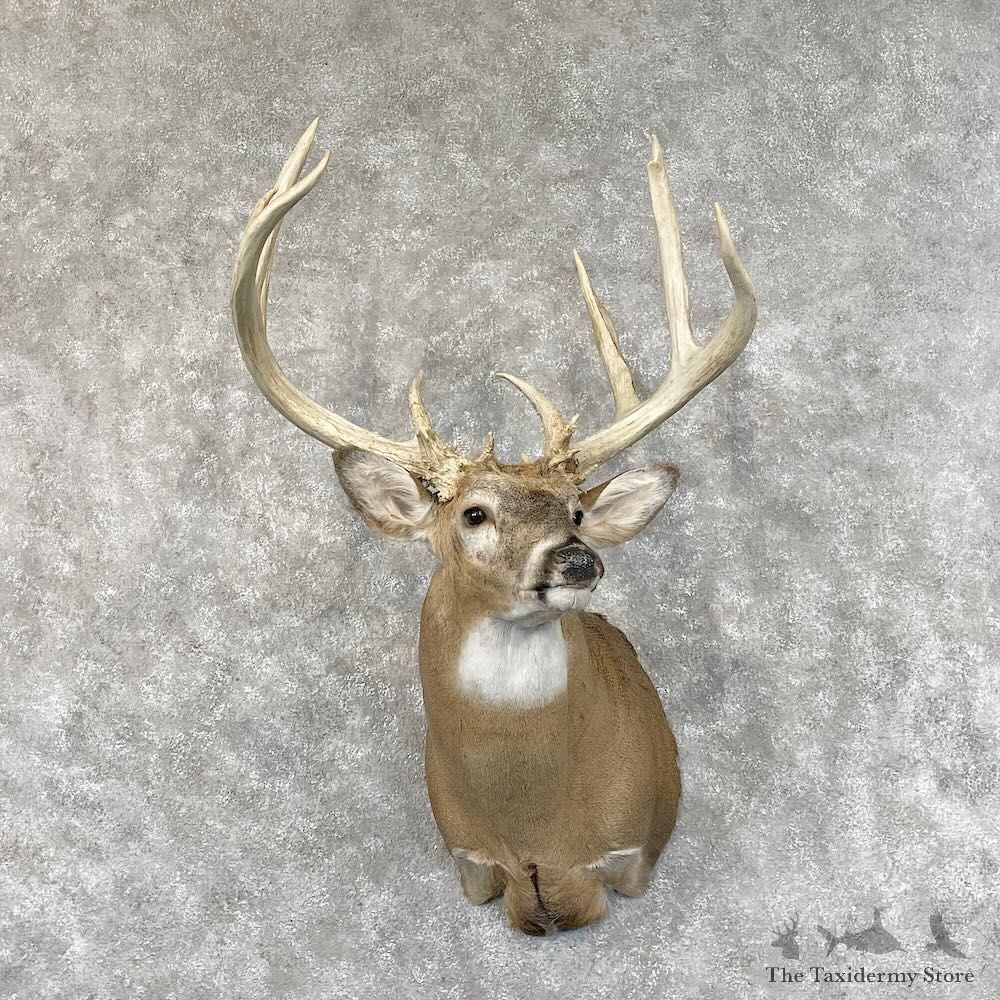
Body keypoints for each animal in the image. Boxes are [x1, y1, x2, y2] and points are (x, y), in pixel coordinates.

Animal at [229, 120, 757, 935]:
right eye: (473, 513)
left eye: (576, 511)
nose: (577, 560)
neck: (535, 826)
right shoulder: (468, 860)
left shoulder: (631, 854)